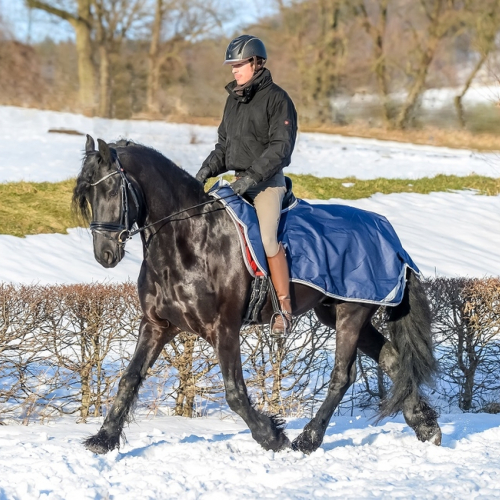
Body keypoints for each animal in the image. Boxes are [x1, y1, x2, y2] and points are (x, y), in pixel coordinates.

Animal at [72, 135, 440, 456]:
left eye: (111, 188)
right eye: (86, 195)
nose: (104, 254)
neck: (187, 238)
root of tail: (390, 237)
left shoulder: (223, 328)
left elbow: (235, 393)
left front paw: (271, 436)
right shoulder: (156, 325)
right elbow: (130, 378)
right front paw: (103, 439)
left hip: (352, 312)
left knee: (342, 375)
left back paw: (308, 439)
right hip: (337, 313)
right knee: (393, 358)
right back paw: (426, 426)